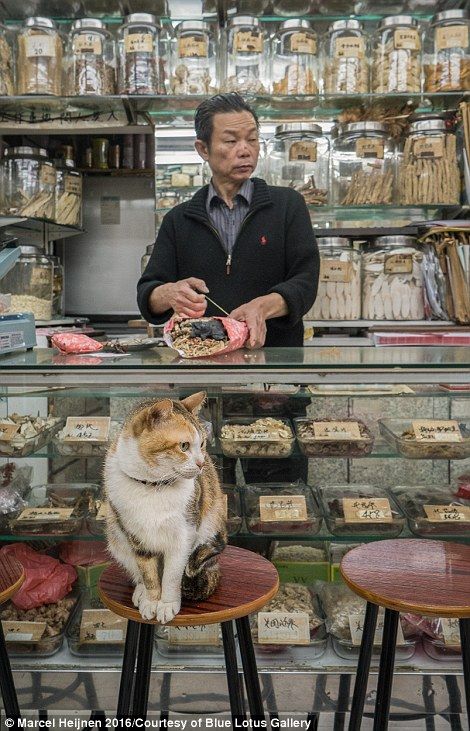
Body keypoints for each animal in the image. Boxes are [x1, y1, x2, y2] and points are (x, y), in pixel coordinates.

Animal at [103, 392, 228, 628]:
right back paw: (140, 592)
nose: (201, 464)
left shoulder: (184, 535)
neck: (153, 487)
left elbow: (171, 576)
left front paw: (167, 604)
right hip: (116, 537)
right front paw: (151, 601)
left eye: (202, 443)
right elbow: (149, 575)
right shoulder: (136, 538)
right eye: (184, 446)